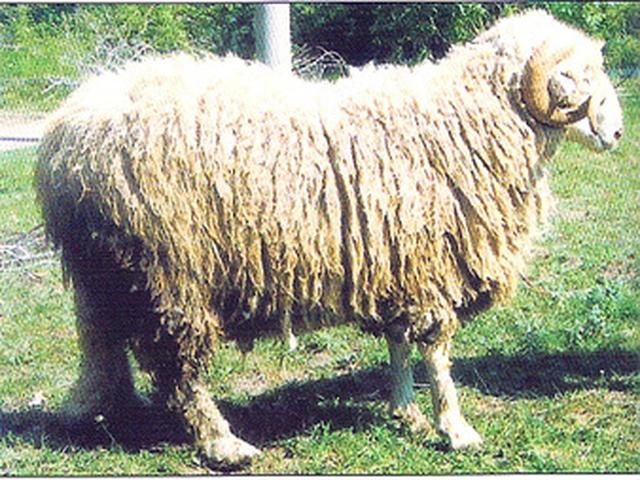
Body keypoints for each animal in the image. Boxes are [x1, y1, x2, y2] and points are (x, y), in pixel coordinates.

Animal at [35, 9, 623, 467]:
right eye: (572, 74)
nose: (617, 133)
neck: (464, 123)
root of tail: (63, 138)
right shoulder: (429, 265)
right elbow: (436, 353)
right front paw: (455, 429)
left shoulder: (394, 264)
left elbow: (397, 344)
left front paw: (406, 413)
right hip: (171, 273)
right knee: (178, 368)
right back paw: (223, 444)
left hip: (109, 273)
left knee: (108, 345)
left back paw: (115, 410)